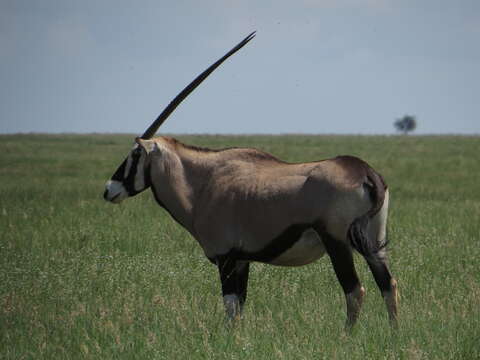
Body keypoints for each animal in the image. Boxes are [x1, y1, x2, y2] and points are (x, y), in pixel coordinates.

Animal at [104, 32, 398, 330]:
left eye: (135, 153)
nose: (109, 190)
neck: (202, 184)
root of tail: (365, 172)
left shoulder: (226, 257)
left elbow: (230, 306)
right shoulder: (242, 260)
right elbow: (240, 306)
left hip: (337, 242)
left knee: (355, 290)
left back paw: (347, 335)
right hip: (374, 241)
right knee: (387, 284)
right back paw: (394, 332)